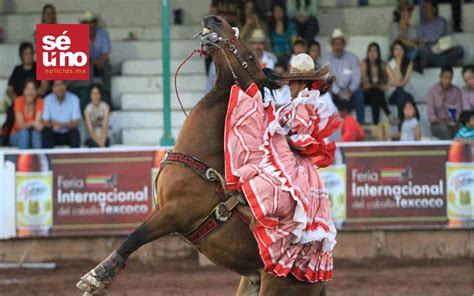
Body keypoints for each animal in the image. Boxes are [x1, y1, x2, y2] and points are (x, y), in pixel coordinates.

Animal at [78, 16, 326, 296]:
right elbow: (136, 234)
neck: (202, 157)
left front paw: (97, 276)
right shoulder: (160, 208)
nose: (215, 19)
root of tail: (317, 279)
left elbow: (136, 237)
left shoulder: (174, 214)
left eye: (251, 56)